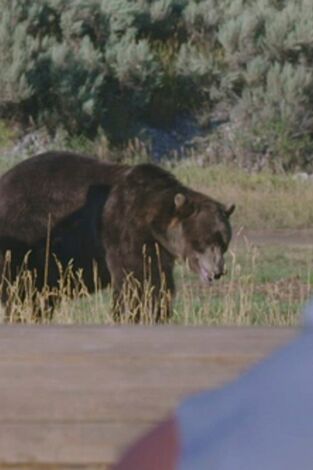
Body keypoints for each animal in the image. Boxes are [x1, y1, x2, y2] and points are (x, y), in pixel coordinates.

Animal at [0, 152, 234, 322]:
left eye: (223, 242)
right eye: (203, 241)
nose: (217, 271)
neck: (153, 220)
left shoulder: (158, 247)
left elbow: (158, 280)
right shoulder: (124, 229)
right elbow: (138, 280)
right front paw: (137, 313)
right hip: (26, 234)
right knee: (21, 287)